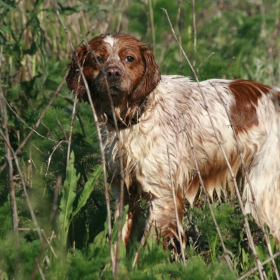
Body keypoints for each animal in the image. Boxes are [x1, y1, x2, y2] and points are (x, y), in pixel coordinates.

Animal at [66, 31, 280, 248]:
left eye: (129, 58)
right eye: (97, 58)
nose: (113, 73)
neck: (138, 114)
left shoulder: (163, 195)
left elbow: (148, 246)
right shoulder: (124, 190)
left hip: (263, 192)